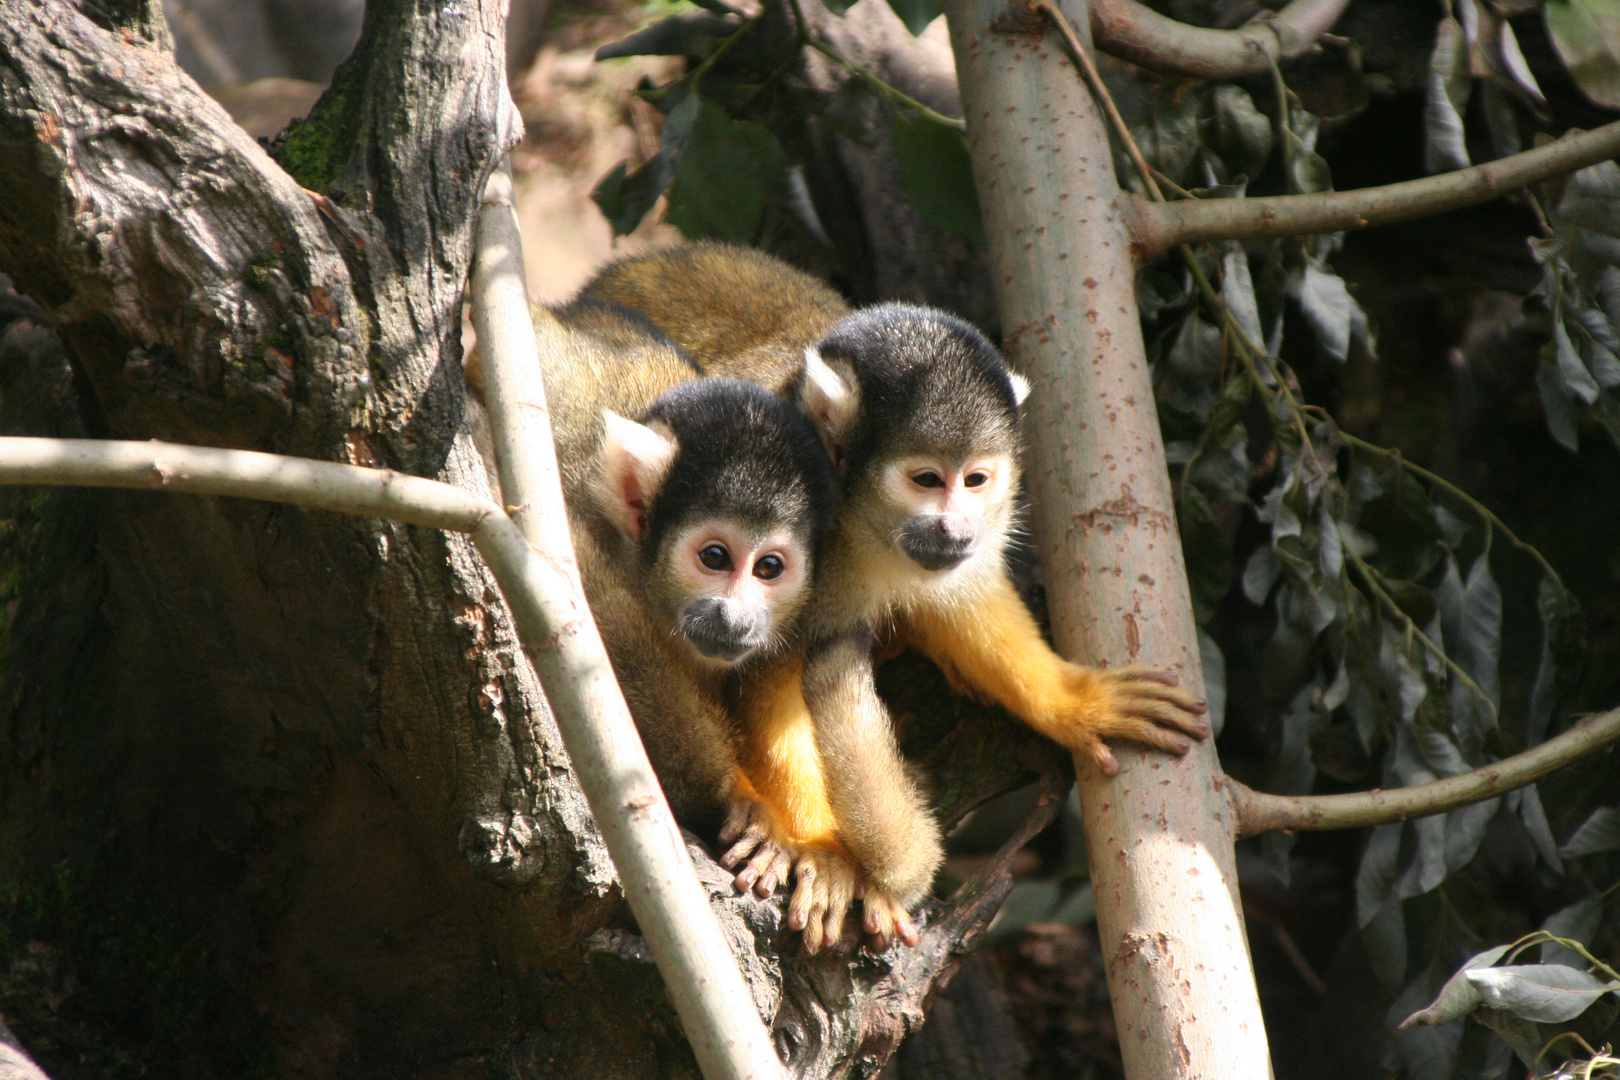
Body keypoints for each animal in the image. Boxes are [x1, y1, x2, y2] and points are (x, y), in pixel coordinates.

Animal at [579, 241, 1205, 952]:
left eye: (976, 480)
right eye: (926, 479)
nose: (955, 527)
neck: (862, 530)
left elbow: (962, 593)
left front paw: (1073, 701)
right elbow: (770, 673)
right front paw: (821, 847)